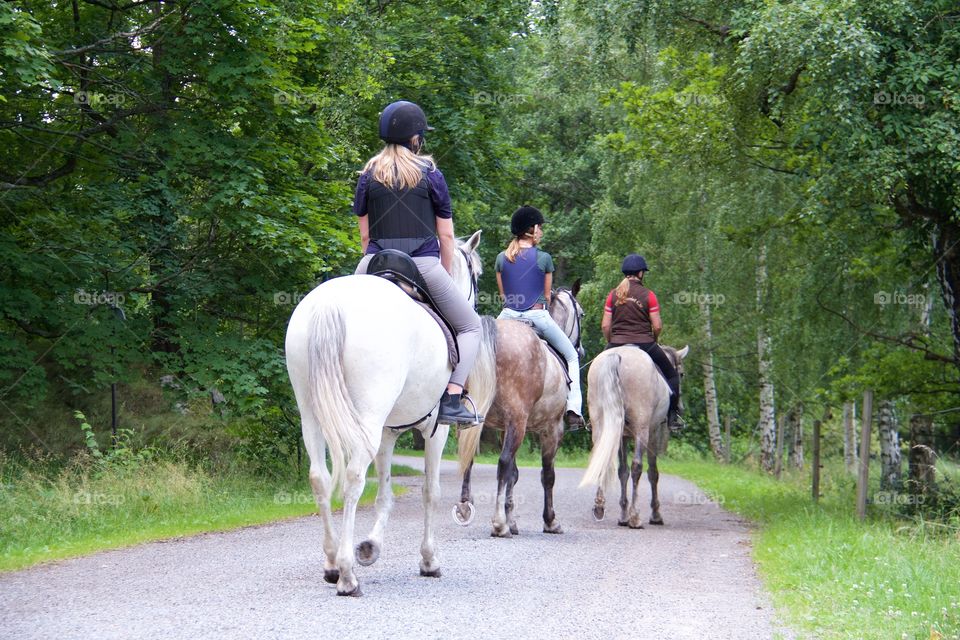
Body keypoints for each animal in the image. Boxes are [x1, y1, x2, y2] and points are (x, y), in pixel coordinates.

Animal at [282, 231, 484, 596]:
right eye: (476, 274)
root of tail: (331, 305)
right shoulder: (436, 430)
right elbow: (430, 492)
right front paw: (429, 560)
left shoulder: (388, 433)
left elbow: (385, 495)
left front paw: (370, 546)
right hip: (368, 419)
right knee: (352, 478)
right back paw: (347, 576)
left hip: (312, 414)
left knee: (319, 477)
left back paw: (332, 562)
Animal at [454, 284, 580, 536]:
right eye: (581, 314)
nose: (580, 349)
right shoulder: (552, 429)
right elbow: (547, 475)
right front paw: (550, 521)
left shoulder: (505, 427)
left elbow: (514, 474)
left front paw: (512, 519)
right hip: (520, 423)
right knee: (502, 463)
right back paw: (498, 524)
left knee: (469, 458)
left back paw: (466, 507)